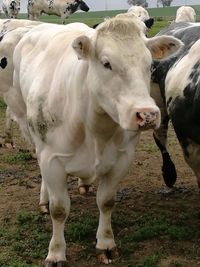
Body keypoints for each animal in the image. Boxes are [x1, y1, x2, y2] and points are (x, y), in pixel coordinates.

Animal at [9, 15, 183, 266]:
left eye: (150, 64)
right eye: (106, 63)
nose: (147, 115)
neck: (93, 128)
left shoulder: (122, 159)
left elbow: (107, 201)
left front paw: (106, 243)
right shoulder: (51, 159)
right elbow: (59, 209)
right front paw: (56, 252)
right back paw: (44, 197)